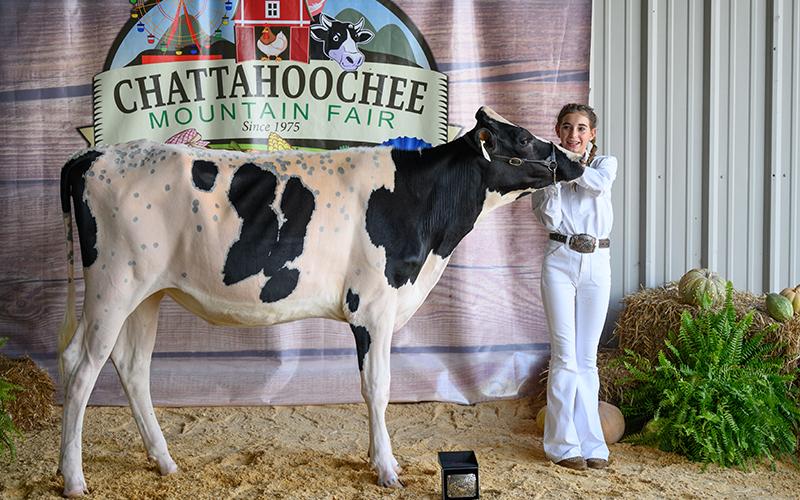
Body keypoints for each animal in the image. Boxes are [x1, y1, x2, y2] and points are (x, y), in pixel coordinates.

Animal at [57, 107, 584, 496]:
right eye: (522, 139)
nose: (575, 160)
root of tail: (96, 153)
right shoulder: (373, 308)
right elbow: (378, 387)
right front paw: (387, 469)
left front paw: (376, 458)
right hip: (112, 285)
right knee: (81, 367)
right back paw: (74, 478)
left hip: (147, 293)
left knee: (131, 366)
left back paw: (164, 462)